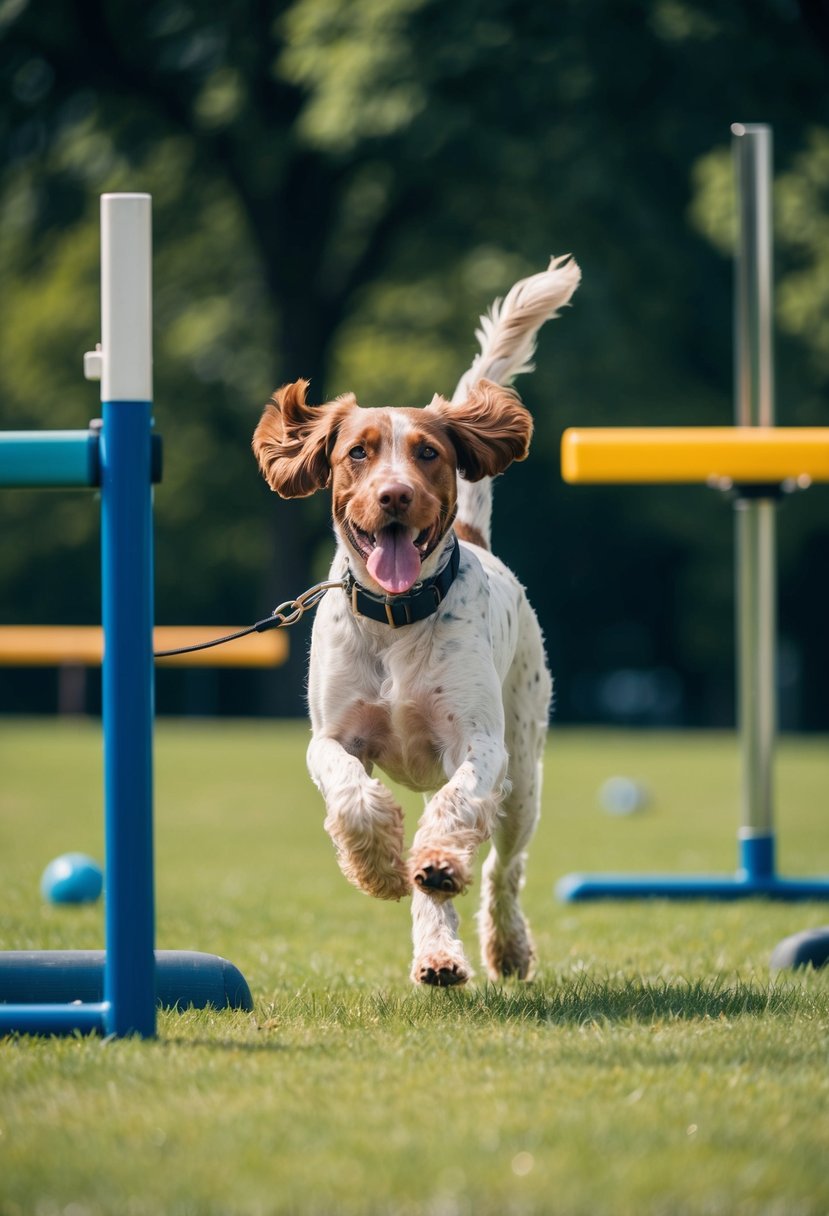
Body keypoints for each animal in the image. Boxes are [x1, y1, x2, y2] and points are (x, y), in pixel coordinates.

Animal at [250, 251, 573, 982]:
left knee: (501, 868)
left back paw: (497, 941)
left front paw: (434, 862)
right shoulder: (332, 737)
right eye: (357, 452)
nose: (395, 495)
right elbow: (350, 796)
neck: (396, 618)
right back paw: (437, 954)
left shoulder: (478, 744)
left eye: (428, 452)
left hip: (524, 771)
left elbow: (457, 812)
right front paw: (378, 867)